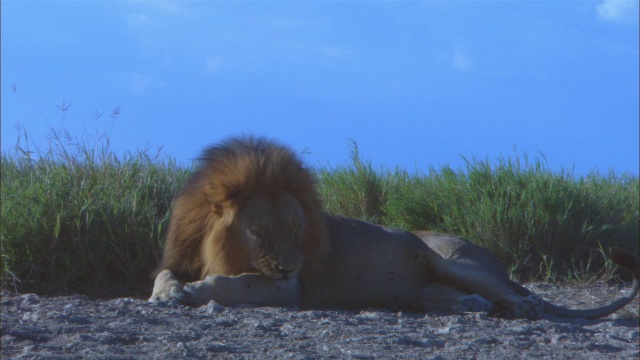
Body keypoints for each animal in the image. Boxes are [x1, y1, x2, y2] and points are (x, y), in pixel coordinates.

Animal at [149, 136, 636, 320]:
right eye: (260, 231)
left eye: (295, 229)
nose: (289, 265)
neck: (221, 248)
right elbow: (163, 273)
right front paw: (167, 291)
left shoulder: (289, 290)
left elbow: (240, 284)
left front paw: (196, 292)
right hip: (427, 287)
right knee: (462, 298)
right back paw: (470, 306)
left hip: (452, 259)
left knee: (520, 297)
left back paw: (519, 308)